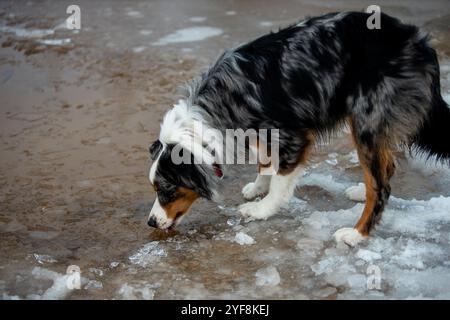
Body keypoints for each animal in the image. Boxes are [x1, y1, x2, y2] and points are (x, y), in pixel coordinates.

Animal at [149, 11, 450, 246]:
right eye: (155, 189)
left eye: (167, 190)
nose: (151, 222)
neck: (218, 106)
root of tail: (420, 43)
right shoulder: (258, 131)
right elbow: (264, 159)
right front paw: (258, 186)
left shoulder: (294, 137)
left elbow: (281, 179)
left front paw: (262, 209)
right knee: (385, 169)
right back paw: (359, 192)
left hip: (367, 120)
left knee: (381, 186)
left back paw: (356, 234)